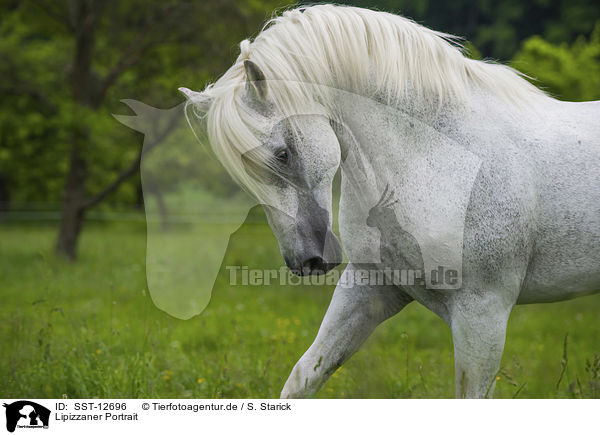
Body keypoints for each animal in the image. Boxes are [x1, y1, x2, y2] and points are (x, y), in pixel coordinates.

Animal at [179, 4, 600, 398]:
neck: (438, 154)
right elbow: (303, 377)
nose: (307, 262)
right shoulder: (369, 287)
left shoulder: (483, 312)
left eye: (282, 154)